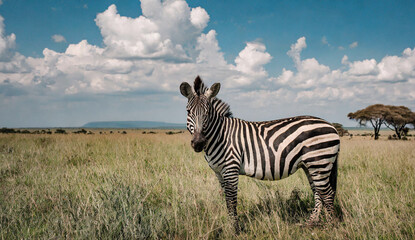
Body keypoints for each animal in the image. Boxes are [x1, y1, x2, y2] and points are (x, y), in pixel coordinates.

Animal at [180, 76, 342, 232]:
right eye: (188, 112)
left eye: (207, 113)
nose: (198, 143)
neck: (220, 135)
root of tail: (331, 125)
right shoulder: (219, 172)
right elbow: (226, 199)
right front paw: (230, 225)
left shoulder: (231, 167)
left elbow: (231, 200)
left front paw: (235, 230)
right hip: (310, 165)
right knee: (318, 193)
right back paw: (311, 223)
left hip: (319, 161)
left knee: (327, 193)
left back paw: (330, 226)